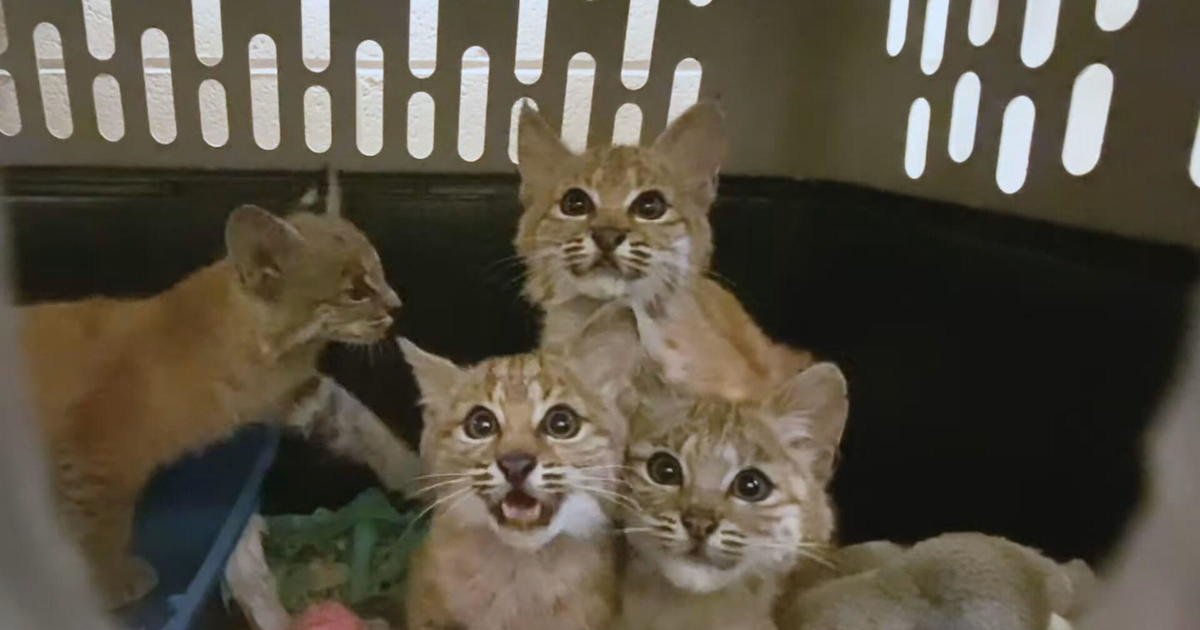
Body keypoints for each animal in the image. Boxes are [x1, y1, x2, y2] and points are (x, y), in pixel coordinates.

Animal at [22, 192, 422, 604]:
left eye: (380, 271)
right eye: (356, 290)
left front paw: (415, 472)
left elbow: (359, 418)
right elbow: (100, 525)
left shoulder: (291, 395)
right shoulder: (94, 451)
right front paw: (109, 579)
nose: (397, 305)